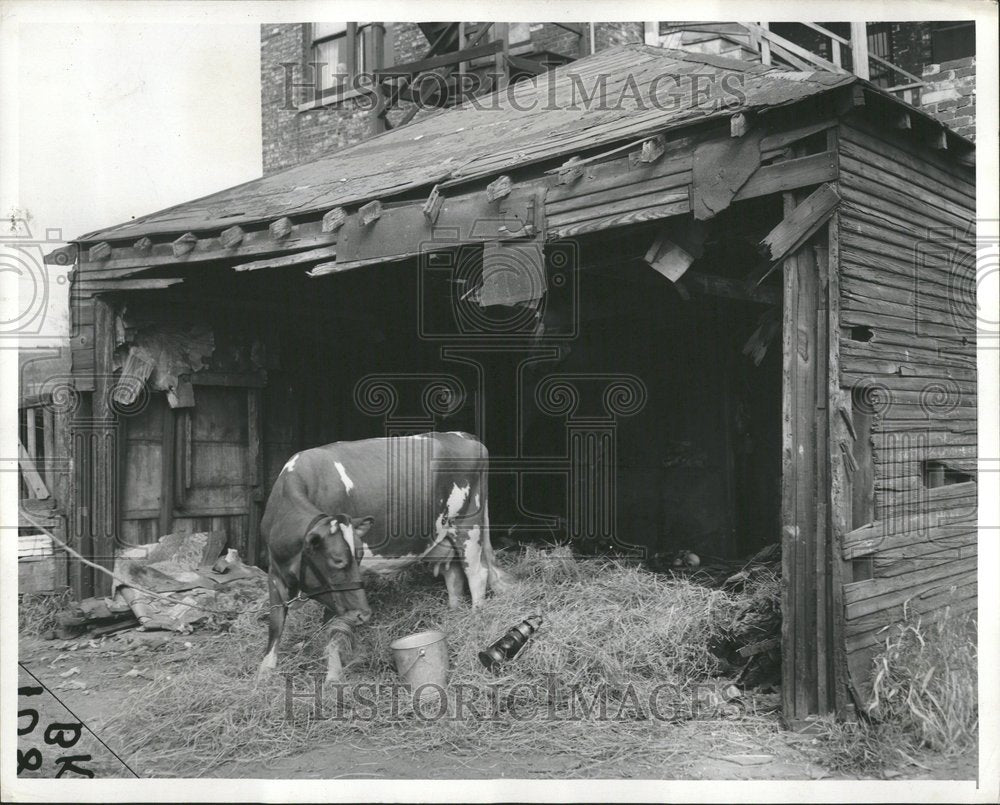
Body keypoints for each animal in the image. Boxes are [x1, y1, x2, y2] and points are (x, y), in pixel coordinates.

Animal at [258, 430, 508, 680]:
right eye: (337, 560)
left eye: (358, 558)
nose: (364, 614)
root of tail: (461, 435)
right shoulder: (274, 573)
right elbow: (275, 622)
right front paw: (266, 671)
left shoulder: (334, 593)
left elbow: (333, 631)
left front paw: (332, 677)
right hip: (442, 536)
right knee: (453, 574)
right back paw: (454, 614)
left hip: (468, 526)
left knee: (477, 573)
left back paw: (475, 618)